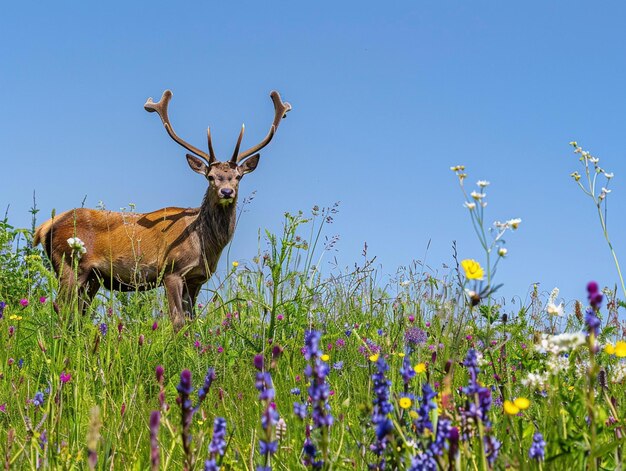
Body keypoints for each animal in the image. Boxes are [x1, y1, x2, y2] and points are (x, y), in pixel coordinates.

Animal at [35, 89, 294, 332]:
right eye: (211, 177)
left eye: (238, 176)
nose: (227, 191)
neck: (203, 243)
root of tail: (45, 226)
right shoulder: (172, 270)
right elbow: (177, 321)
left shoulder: (196, 278)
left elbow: (191, 322)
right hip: (68, 264)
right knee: (61, 311)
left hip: (92, 277)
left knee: (77, 315)